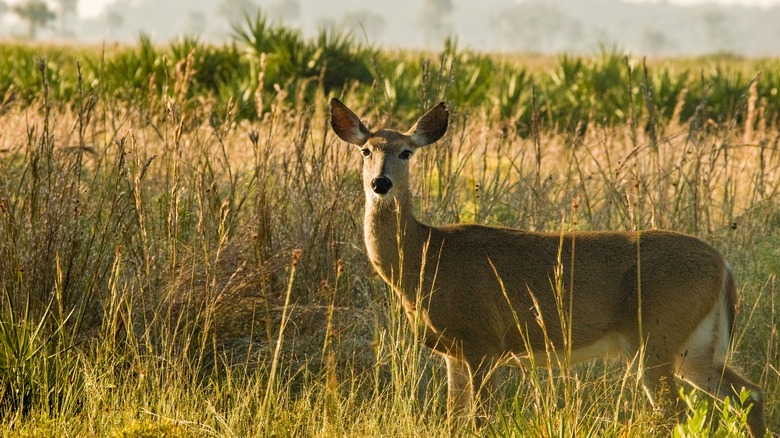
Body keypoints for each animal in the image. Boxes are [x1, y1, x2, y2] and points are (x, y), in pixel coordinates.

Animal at [330, 97, 768, 436]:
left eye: (406, 151)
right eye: (366, 151)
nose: (381, 183)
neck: (426, 258)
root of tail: (724, 266)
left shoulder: (484, 341)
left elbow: (480, 421)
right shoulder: (454, 350)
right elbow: (454, 421)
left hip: (656, 335)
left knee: (673, 413)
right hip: (693, 344)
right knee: (749, 393)